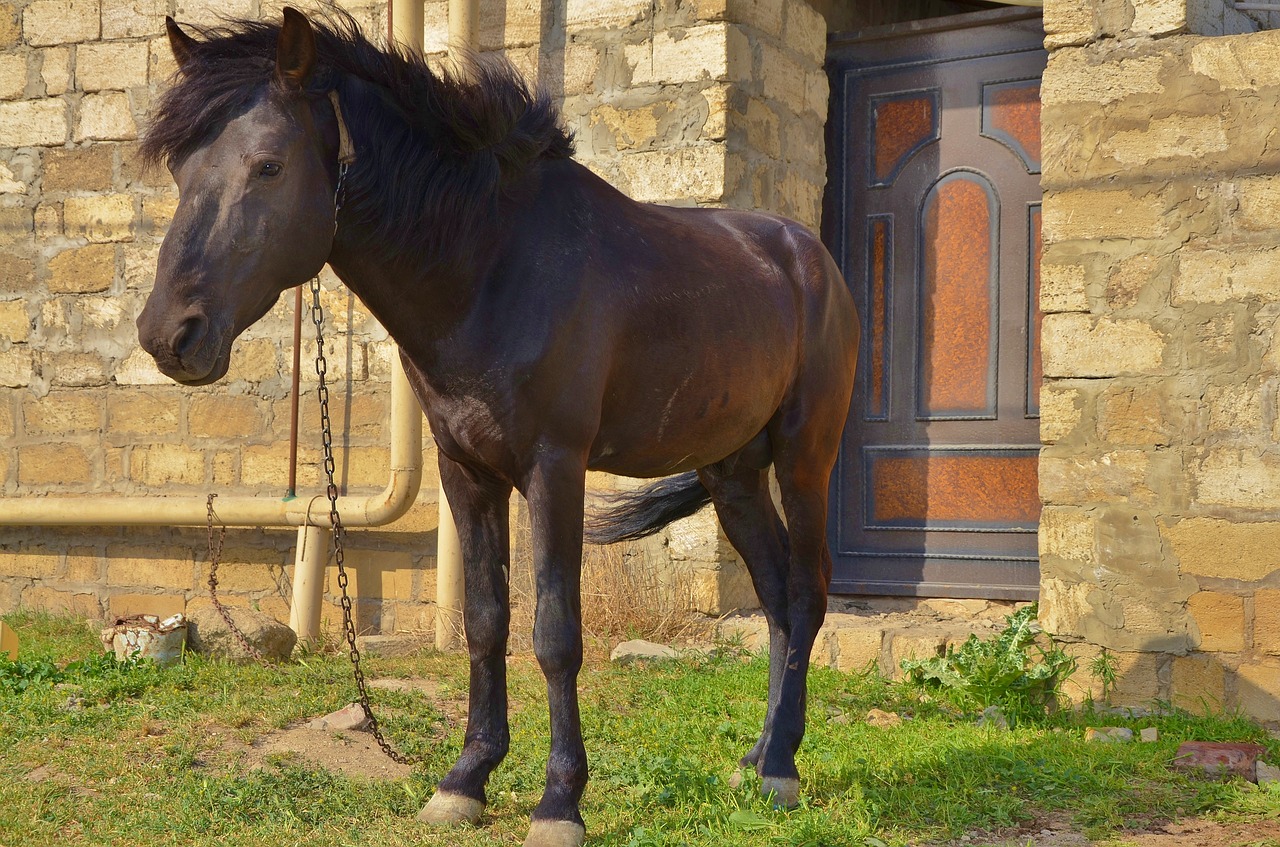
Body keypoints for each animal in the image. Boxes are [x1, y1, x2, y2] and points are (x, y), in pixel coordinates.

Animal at [135, 8, 860, 847]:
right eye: (181, 171)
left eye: (268, 166)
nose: (169, 335)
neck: (491, 264)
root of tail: (811, 260)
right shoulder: (466, 469)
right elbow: (485, 621)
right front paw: (465, 779)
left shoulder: (555, 467)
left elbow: (554, 632)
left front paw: (559, 801)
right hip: (732, 471)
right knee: (775, 597)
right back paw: (759, 754)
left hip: (806, 458)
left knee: (806, 591)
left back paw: (781, 768)